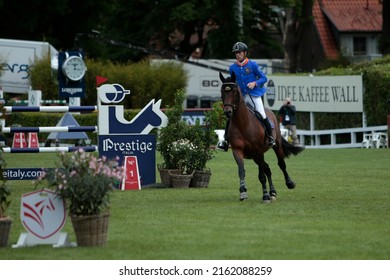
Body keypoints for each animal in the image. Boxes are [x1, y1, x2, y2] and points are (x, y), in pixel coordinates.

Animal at [219, 71, 304, 202]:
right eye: (222, 91)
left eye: (234, 91)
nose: (228, 112)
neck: (242, 123)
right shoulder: (238, 150)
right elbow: (241, 171)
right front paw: (243, 192)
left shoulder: (258, 151)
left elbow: (261, 175)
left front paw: (265, 196)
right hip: (254, 156)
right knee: (267, 169)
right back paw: (273, 192)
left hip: (275, 146)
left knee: (281, 164)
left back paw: (289, 183)